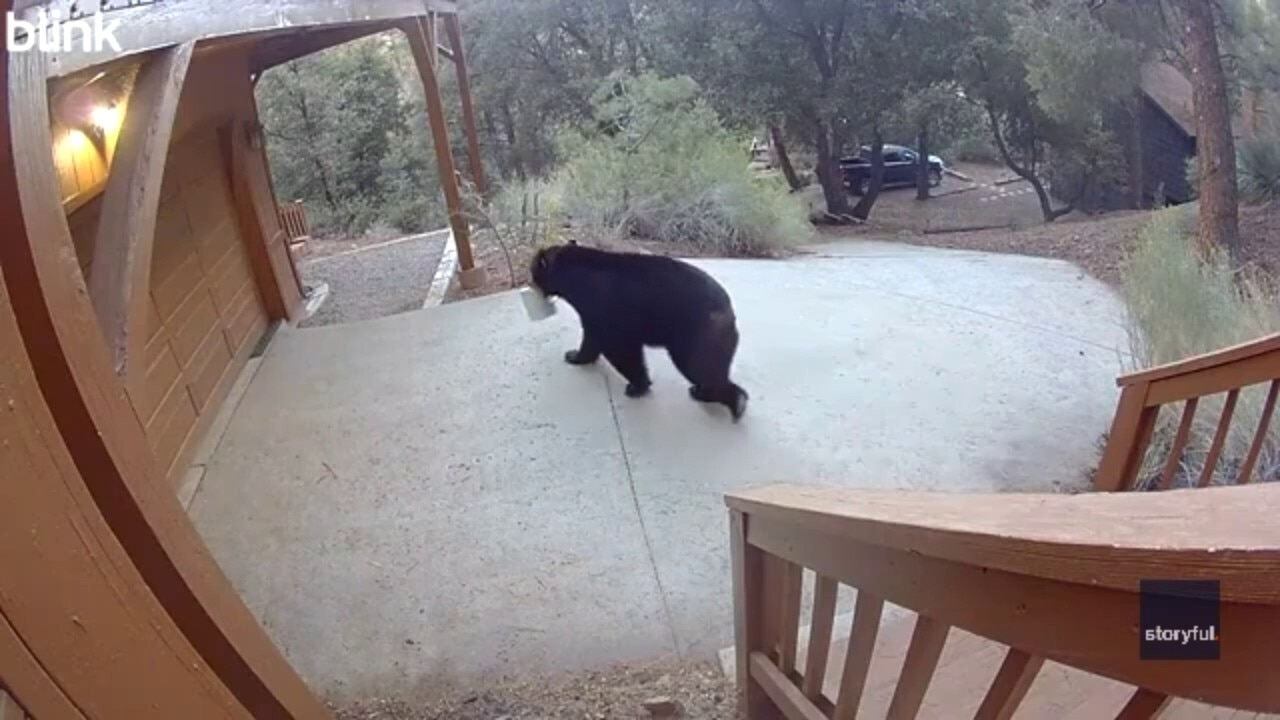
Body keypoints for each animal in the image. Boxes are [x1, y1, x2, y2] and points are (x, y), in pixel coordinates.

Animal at [529, 241, 749, 421]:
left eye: (533, 270)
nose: (531, 284)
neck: (577, 279)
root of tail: (729, 311)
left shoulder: (605, 308)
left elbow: (618, 348)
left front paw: (636, 386)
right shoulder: (596, 315)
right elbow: (595, 339)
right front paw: (576, 355)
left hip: (698, 335)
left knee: (700, 367)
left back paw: (727, 399)